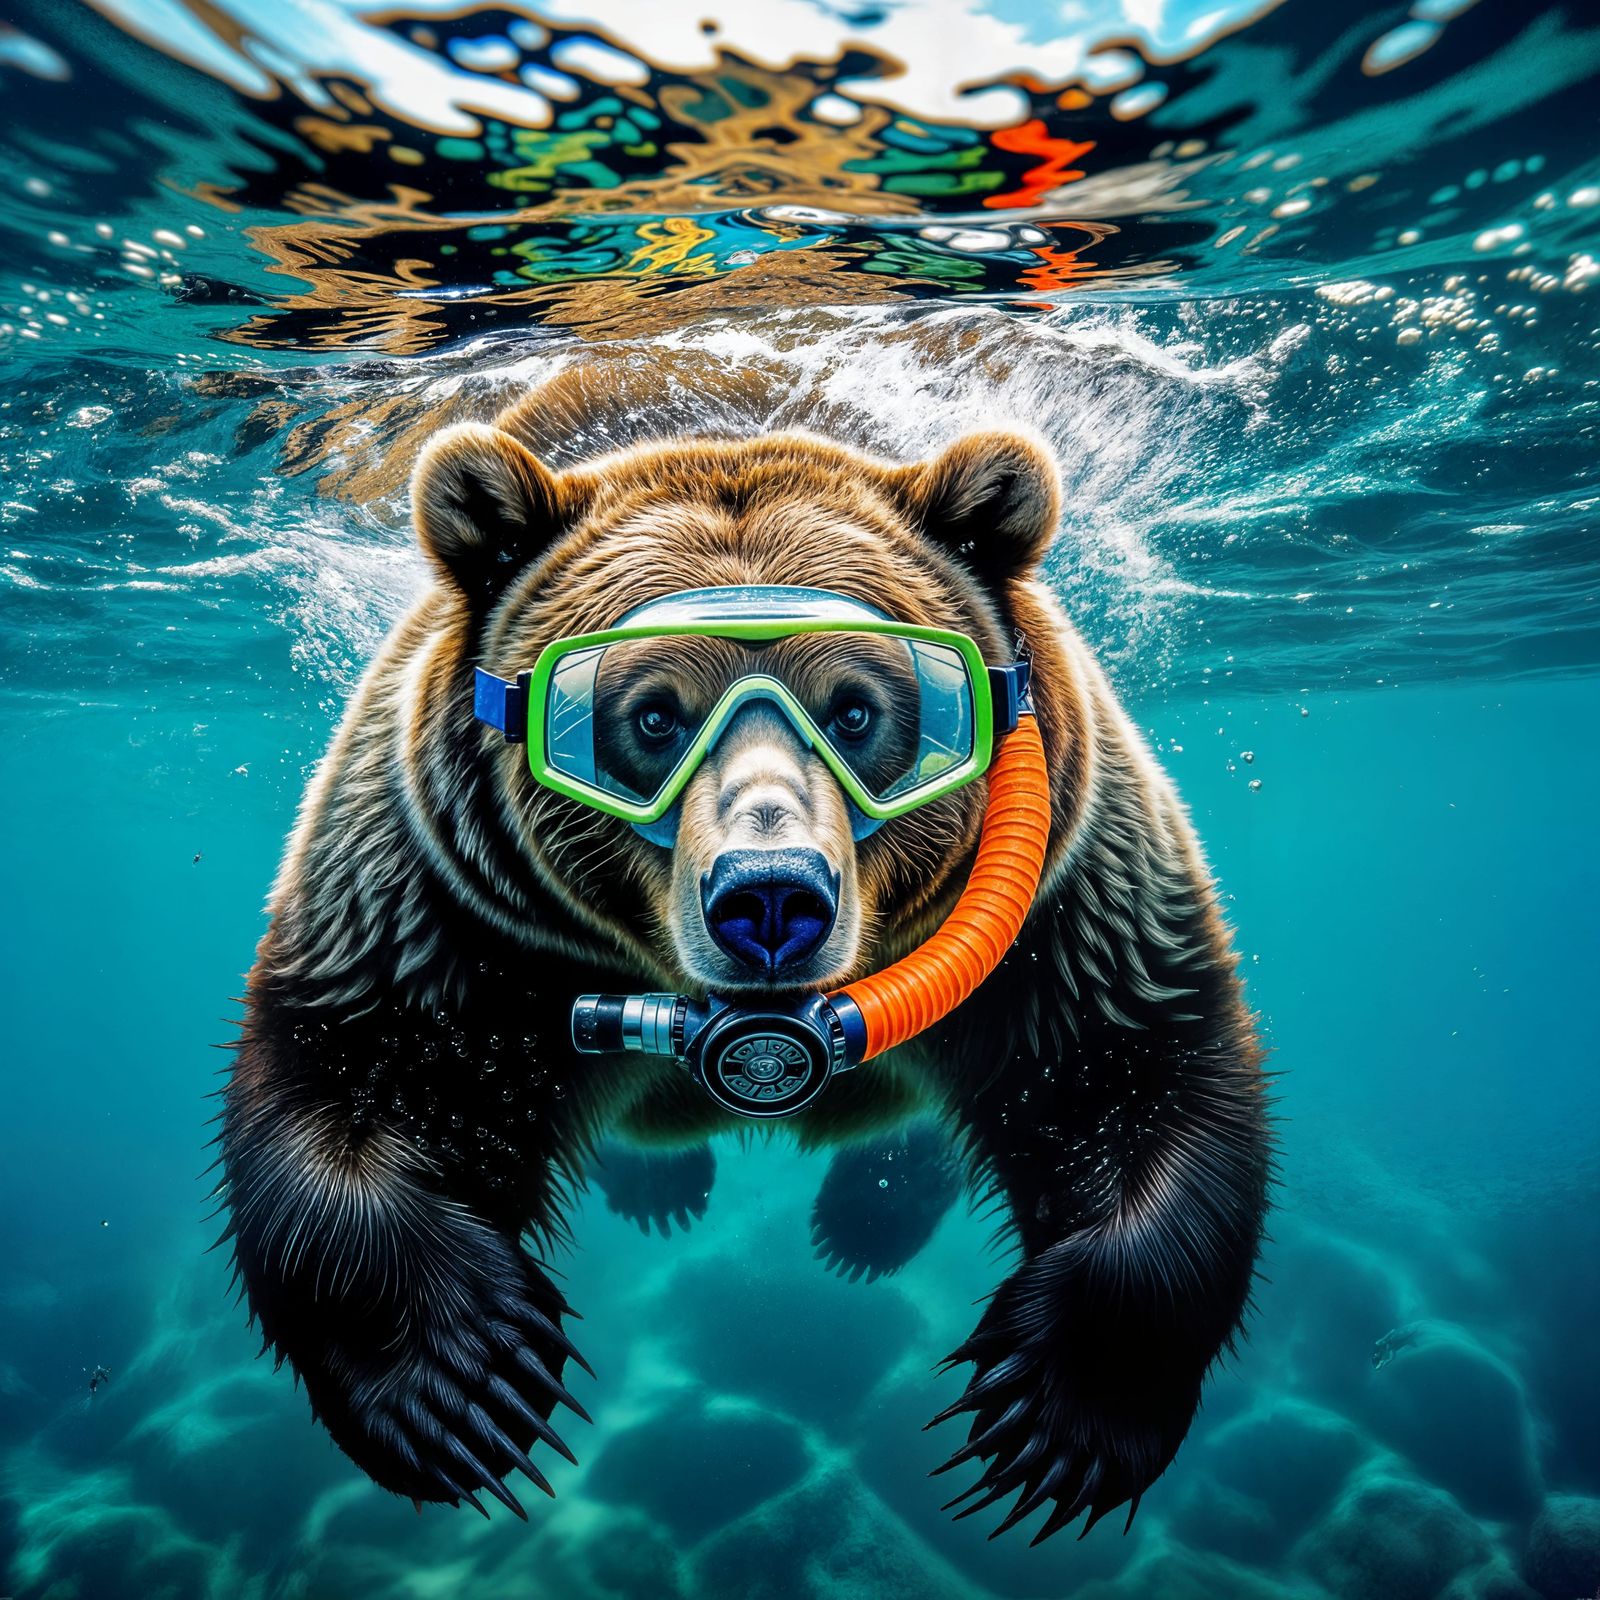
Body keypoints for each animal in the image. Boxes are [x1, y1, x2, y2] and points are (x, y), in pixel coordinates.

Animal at [217, 350, 1272, 1542]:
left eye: (859, 710)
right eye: (649, 716)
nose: (769, 899)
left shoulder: (1061, 889)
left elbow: (1135, 1065)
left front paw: (1057, 1415)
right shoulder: (446, 908)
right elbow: (357, 1076)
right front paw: (465, 1386)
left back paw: (866, 1219)